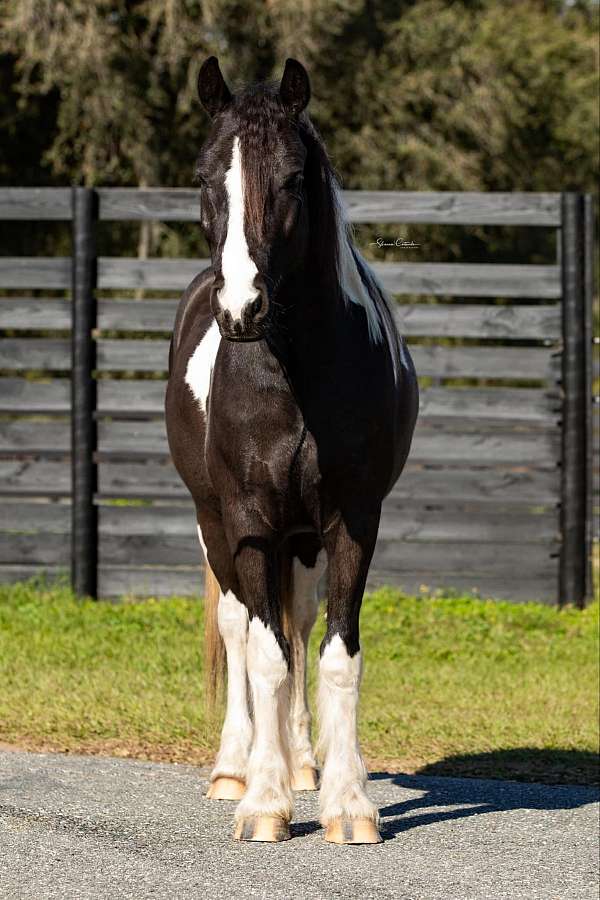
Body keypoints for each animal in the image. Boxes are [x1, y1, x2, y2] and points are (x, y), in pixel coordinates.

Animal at [164, 56, 418, 844]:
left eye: (292, 179)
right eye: (204, 176)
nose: (241, 308)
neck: (295, 371)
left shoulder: (351, 522)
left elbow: (334, 656)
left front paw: (347, 802)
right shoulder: (248, 521)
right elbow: (265, 657)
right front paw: (263, 803)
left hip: (301, 541)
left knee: (297, 624)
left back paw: (304, 763)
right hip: (214, 524)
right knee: (242, 629)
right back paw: (237, 768)